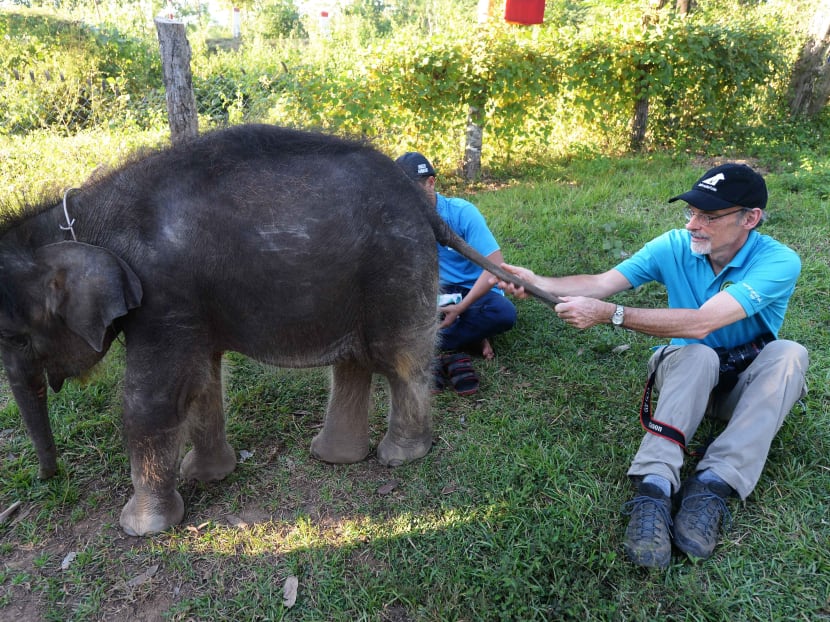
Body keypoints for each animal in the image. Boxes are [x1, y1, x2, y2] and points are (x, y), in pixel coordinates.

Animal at [0, 124, 557, 536]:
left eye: (15, 337)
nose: (49, 479)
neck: (80, 217)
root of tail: (423, 204)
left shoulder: (164, 294)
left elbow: (153, 396)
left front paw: (141, 528)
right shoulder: (187, 305)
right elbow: (202, 380)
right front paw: (205, 476)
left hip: (396, 265)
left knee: (400, 360)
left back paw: (399, 457)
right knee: (355, 361)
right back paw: (335, 457)